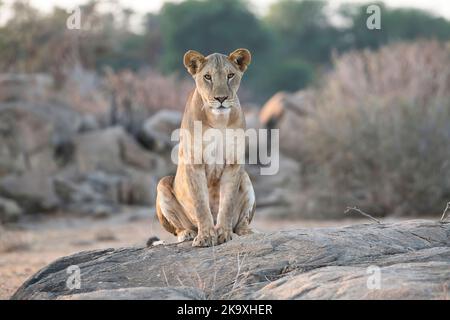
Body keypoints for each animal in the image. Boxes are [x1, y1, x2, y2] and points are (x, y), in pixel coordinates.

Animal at [155, 48, 255, 248]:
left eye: (230, 75)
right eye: (207, 77)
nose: (221, 98)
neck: (218, 120)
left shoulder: (234, 163)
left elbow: (227, 203)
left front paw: (223, 233)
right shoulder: (194, 162)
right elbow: (201, 204)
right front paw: (205, 237)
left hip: (246, 178)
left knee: (241, 221)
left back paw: (246, 231)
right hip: (162, 184)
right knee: (179, 228)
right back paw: (187, 234)